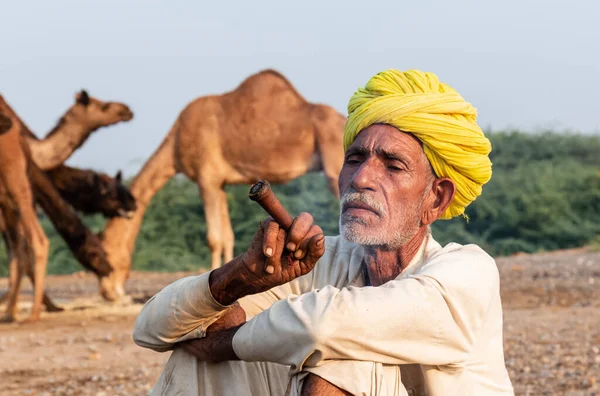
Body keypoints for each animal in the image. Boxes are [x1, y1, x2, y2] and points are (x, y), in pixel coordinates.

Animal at [99, 70, 346, 300]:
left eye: (106, 248)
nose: (109, 292)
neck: (176, 143)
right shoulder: (220, 183)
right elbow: (227, 235)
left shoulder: (206, 178)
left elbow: (214, 238)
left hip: (334, 166)